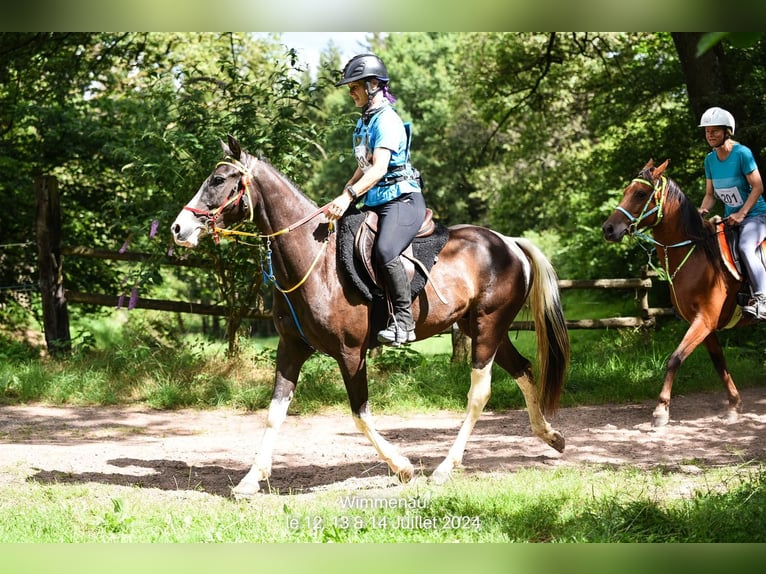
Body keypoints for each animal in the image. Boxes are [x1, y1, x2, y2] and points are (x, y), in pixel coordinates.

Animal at [172, 136, 568, 500]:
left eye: (218, 180)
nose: (179, 228)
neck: (315, 261)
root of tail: (510, 243)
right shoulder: (291, 349)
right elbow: (274, 412)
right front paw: (250, 479)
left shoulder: (351, 353)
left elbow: (359, 414)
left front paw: (403, 467)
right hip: (482, 328)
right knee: (524, 369)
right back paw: (551, 436)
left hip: (487, 327)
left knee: (479, 393)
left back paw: (444, 468)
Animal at [604, 160, 752, 430]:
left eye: (640, 194)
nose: (608, 229)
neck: (696, 254)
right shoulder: (705, 325)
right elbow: (719, 363)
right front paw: (734, 405)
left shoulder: (704, 320)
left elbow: (674, 359)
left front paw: (661, 410)